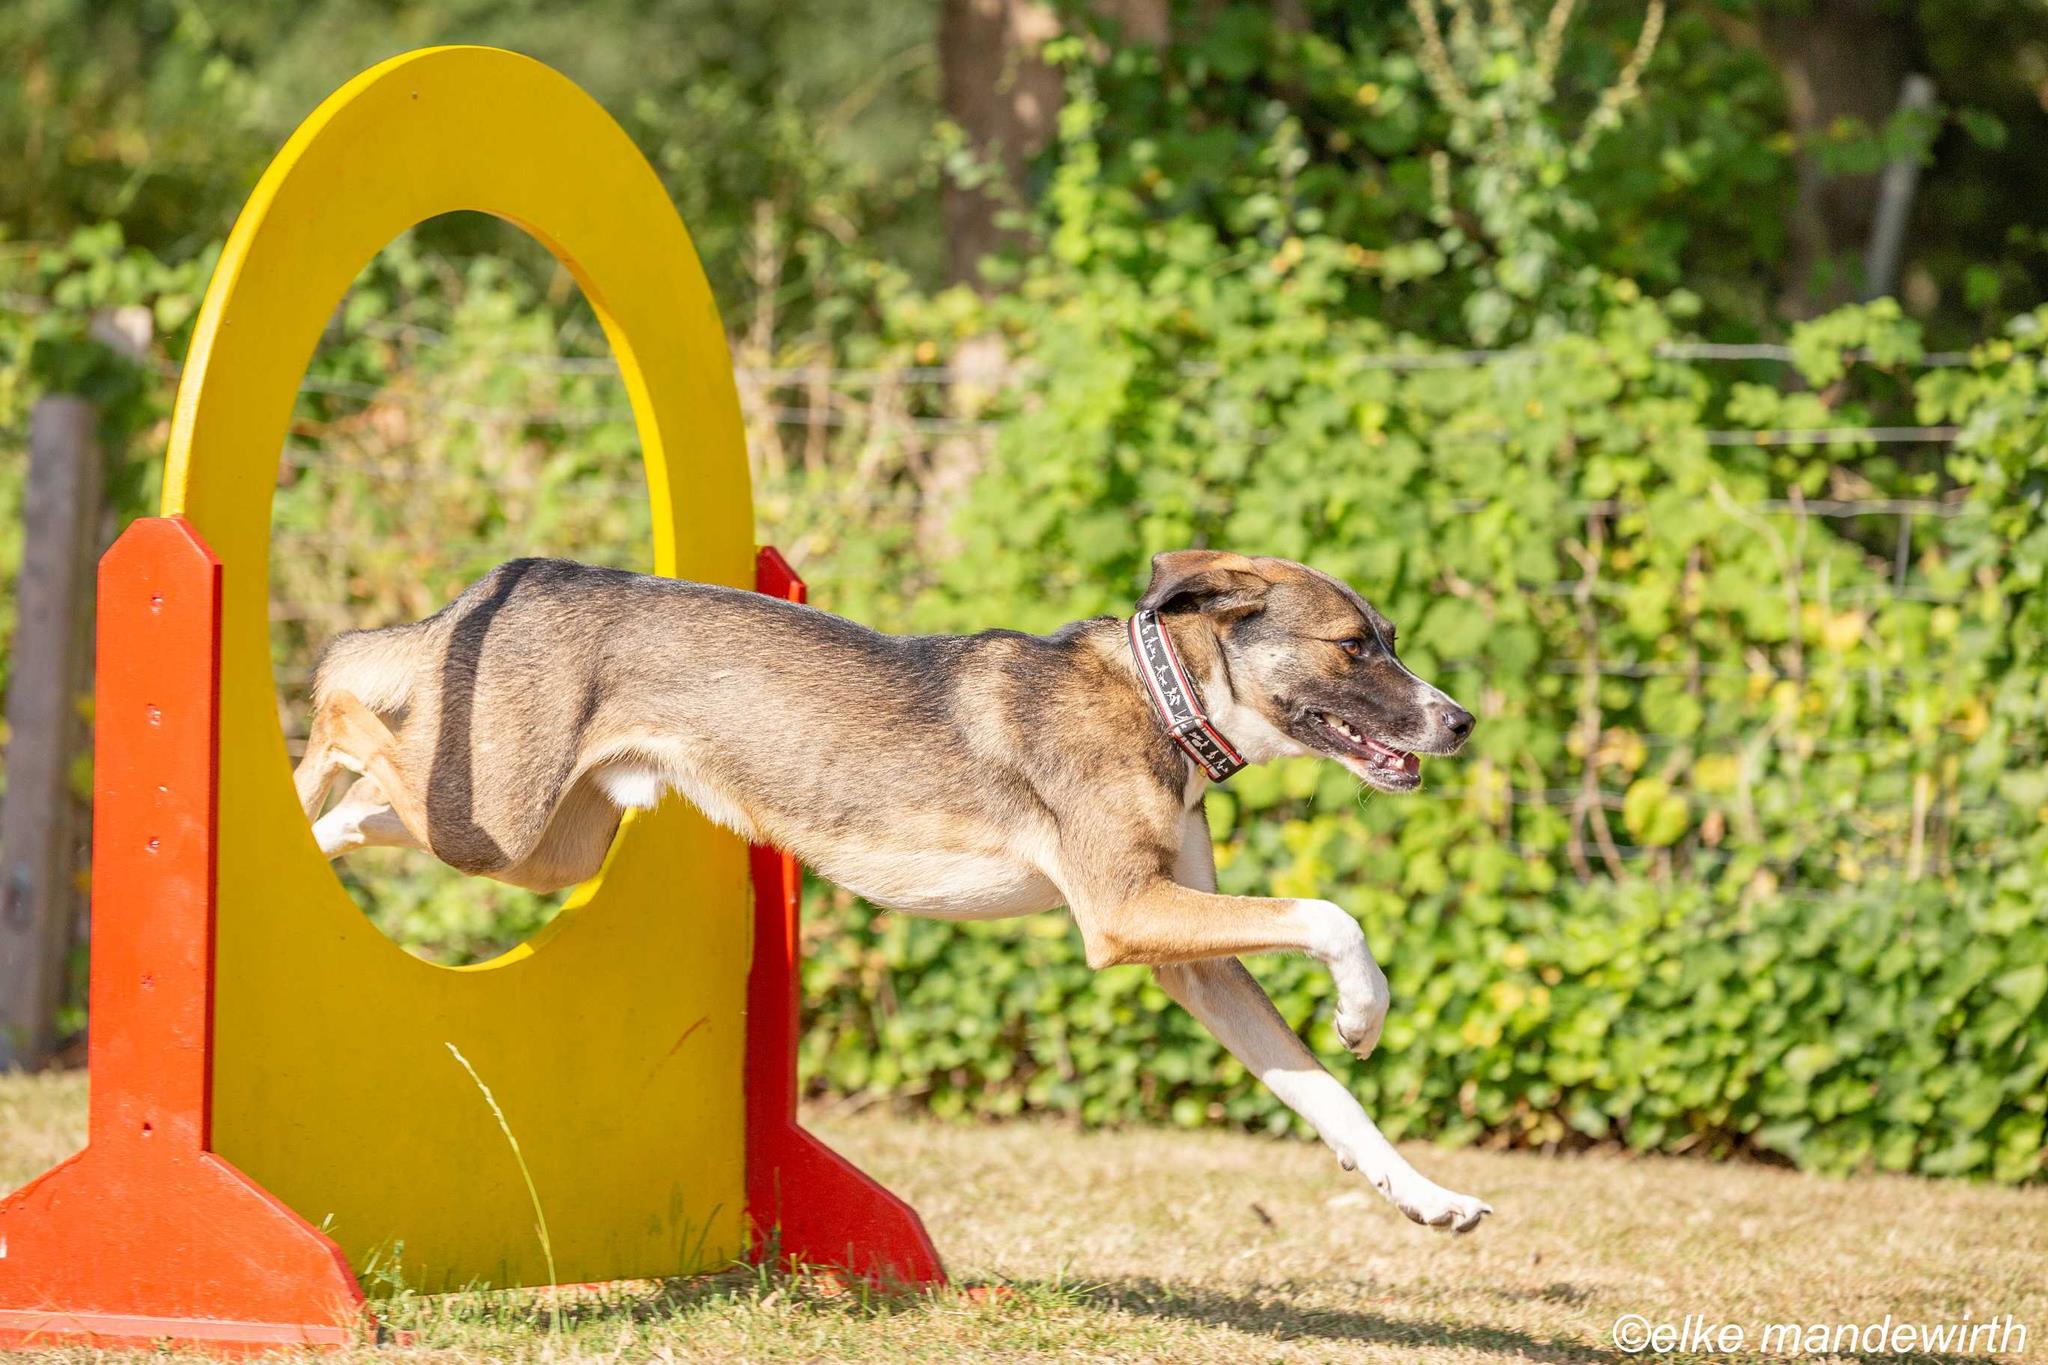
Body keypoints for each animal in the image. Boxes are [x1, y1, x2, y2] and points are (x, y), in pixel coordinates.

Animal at [297, 548, 1492, 1232]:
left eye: (1390, 642)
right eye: (1355, 647)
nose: (1462, 720)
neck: (1164, 704)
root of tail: (527, 573)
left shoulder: (1188, 960)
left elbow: (1323, 1095)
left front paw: (1424, 1197)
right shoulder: (1123, 916)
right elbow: (1331, 917)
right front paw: (1363, 1008)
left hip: (547, 842)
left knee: (365, 801)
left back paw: (312, 828)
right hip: (492, 819)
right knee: (347, 681)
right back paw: (306, 747)